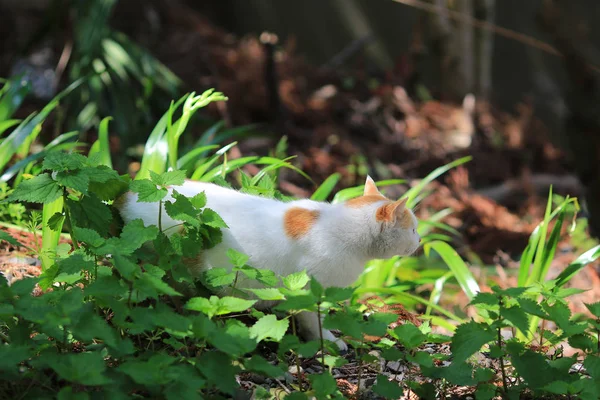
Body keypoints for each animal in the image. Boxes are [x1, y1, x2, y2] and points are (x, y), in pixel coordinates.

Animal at [115, 175, 420, 350]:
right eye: (414, 228)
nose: (421, 241)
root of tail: (127, 193)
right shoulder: (308, 290)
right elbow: (315, 323)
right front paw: (330, 342)